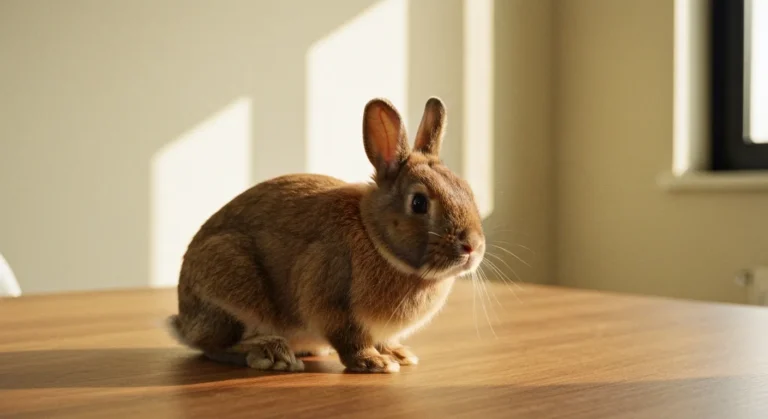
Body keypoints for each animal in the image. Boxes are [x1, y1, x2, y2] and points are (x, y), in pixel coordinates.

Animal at [167, 97, 486, 373]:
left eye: (467, 190)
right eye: (419, 203)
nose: (472, 246)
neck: (373, 236)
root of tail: (183, 320)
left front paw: (398, 354)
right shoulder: (330, 299)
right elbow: (350, 339)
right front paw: (375, 363)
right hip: (230, 284)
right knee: (215, 346)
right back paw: (272, 353)